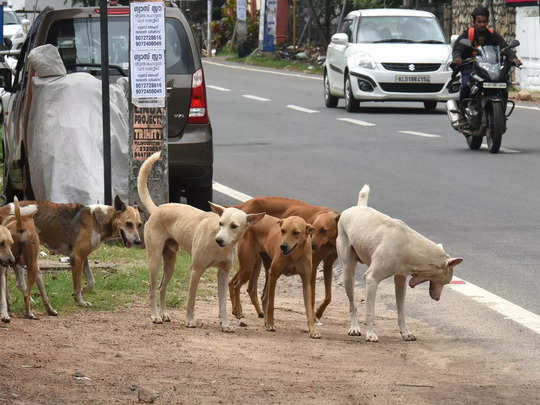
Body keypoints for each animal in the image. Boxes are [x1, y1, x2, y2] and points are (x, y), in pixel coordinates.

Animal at [137, 150, 266, 330]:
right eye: (220, 223)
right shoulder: (196, 270)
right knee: (153, 289)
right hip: (155, 260)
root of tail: (158, 209)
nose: (219, 240)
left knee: (162, 287)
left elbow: (223, 302)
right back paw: (155, 315)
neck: (219, 248)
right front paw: (190, 320)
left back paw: (163, 313)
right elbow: (191, 300)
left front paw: (225, 324)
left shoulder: (223, 273)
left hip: (171, 262)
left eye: (234, 226)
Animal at [336, 185, 462, 340]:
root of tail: (357, 207)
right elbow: (370, 311)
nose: (437, 299)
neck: (410, 245)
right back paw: (354, 327)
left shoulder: (401, 280)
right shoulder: (372, 279)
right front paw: (371, 334)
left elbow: (401, 310)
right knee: (352, 304)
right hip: (348, 271)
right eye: (446, 282)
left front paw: (406, 332)